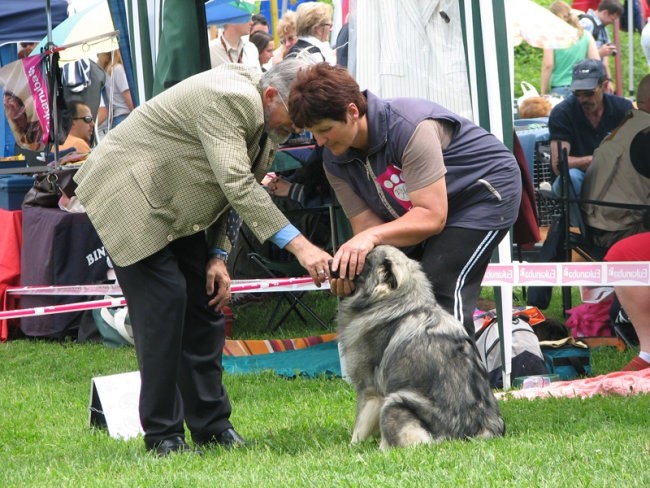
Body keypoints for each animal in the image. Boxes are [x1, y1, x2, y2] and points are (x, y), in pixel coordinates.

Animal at [336, 246, 504, 448]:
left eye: (361, 262)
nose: (331, 261)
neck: (398, 304)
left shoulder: (370, 391)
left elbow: (359, 427)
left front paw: (352, 447)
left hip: (394, 401)